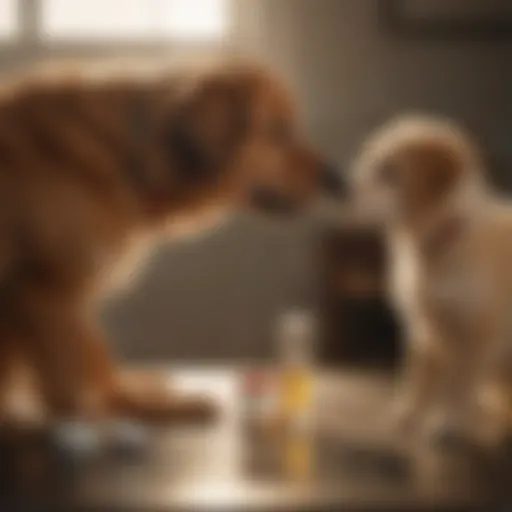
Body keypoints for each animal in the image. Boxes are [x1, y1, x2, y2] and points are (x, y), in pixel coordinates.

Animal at [0, 61, 344, 432]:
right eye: (278, 132)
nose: (338, 180)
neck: (125, 158)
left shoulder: (67, 294)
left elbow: (97, 366)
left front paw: (139, 401)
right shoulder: (48, 288)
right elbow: (72, 385)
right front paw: (98, 421)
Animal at [352, 115, 512, 448]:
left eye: (389, 171)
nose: (339, 187)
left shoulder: (476, 334)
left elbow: (458, 385)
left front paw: (449, 424)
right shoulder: (426, 328)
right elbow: (418, 376)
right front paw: (408, 415)